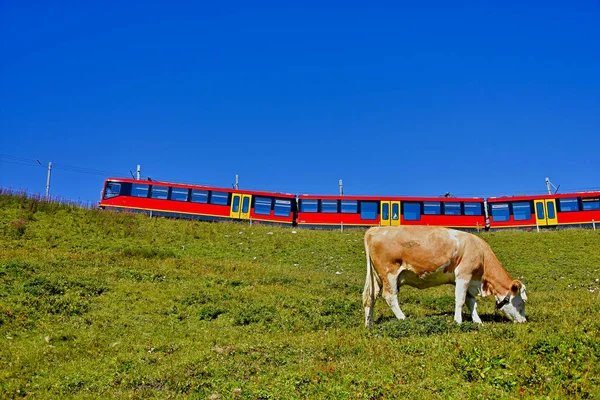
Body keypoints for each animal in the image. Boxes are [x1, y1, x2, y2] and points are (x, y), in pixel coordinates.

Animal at [360, 223, 524, 326]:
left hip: (376, 276)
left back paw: (369, 324)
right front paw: (458, 322)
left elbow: (471, 302)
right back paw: (403, 319)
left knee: (370, 297)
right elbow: (460, 300)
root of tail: (374, 230)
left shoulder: (468, 280)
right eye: (522, 303)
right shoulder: (464, 274)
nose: (524, 321)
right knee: (389, 296)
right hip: (389, 273)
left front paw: (478, 322)